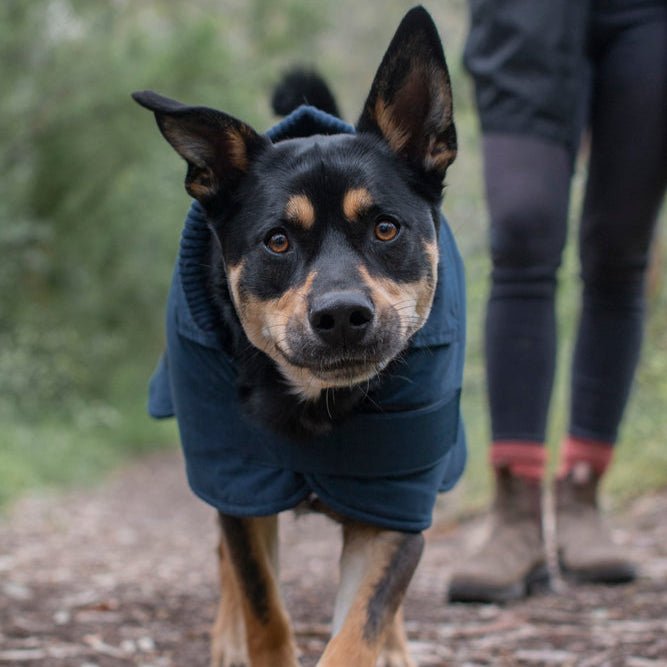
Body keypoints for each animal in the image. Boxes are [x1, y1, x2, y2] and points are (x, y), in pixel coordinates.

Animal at [133, 6, 462, 667]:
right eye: (277, 241)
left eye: (386, 228)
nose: (341, 316)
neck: (317, 401)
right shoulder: (240, 485)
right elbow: (262, 603)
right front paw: (248, 637)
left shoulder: (394, 499)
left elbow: (361, 623)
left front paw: (378, 640)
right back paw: (226, 637)